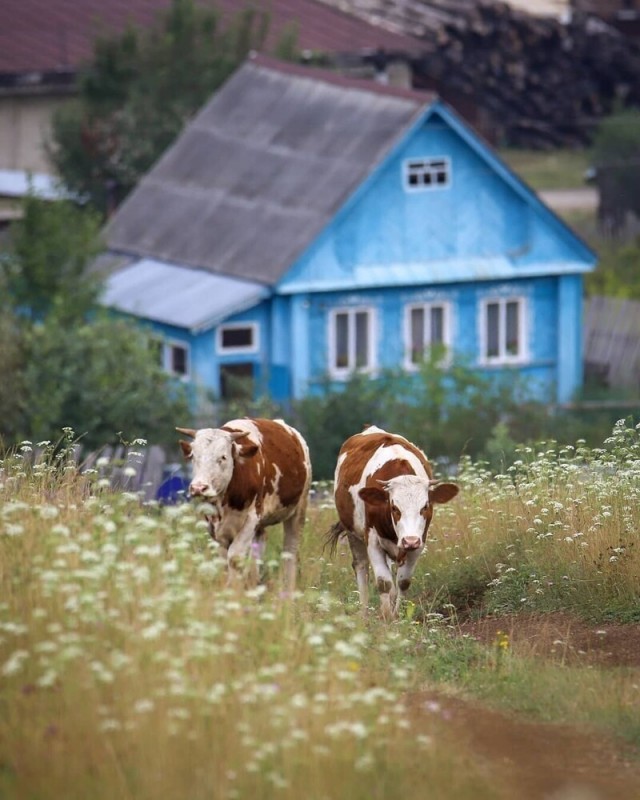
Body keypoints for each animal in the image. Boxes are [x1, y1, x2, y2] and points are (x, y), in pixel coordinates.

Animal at [178, 418, 312, 588]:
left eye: (223, 457)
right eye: (194, 456)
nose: (198, 488)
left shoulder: (252, 518)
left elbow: (235, 557)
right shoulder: (212, 524)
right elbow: (223, 561)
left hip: (298, 510)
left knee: (290, 552)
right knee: (258, 550)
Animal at [328, 424, 458, 620]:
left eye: (425, 506)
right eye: (394, 507)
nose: (409, 541)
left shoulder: (420, 542)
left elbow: (403, 581)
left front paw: (397, 616)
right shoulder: (372, 539)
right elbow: (383, 582)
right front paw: (386, 617)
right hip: (353, 533)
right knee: (361, 567)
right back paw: (364, 613)